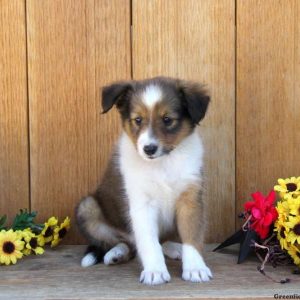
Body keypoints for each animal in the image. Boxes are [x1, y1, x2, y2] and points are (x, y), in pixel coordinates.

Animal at [75, 76, 211, 284]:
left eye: (167, 119)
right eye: (137, 120)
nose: (149, 149)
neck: (163, 163)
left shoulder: (190, 199)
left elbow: (192, 237)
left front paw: (196, 268)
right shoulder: (141, 203)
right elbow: (149, 242)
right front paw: (155, 271)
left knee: (160, 241)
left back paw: (174, 248)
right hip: (88, 207)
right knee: (124, 242)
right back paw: (116, 254)